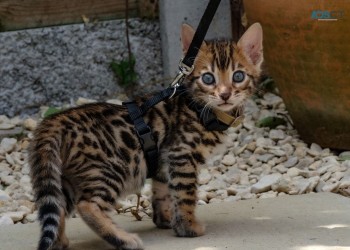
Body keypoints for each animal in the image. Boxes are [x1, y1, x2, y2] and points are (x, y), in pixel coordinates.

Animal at [29, 23, 262, 250]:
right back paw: (124, 239)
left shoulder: (163, 160)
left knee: (57, 207)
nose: (225, 95)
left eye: (238, 76)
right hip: (111, 168)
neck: (198, 107)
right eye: (208, 78)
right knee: (87, 205)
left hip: (63, 177)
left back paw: (59, 242)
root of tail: (54, 121)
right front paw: (188, 227)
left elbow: (163, 191)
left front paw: (166, 219)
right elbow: (184, 194)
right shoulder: (181, 154)